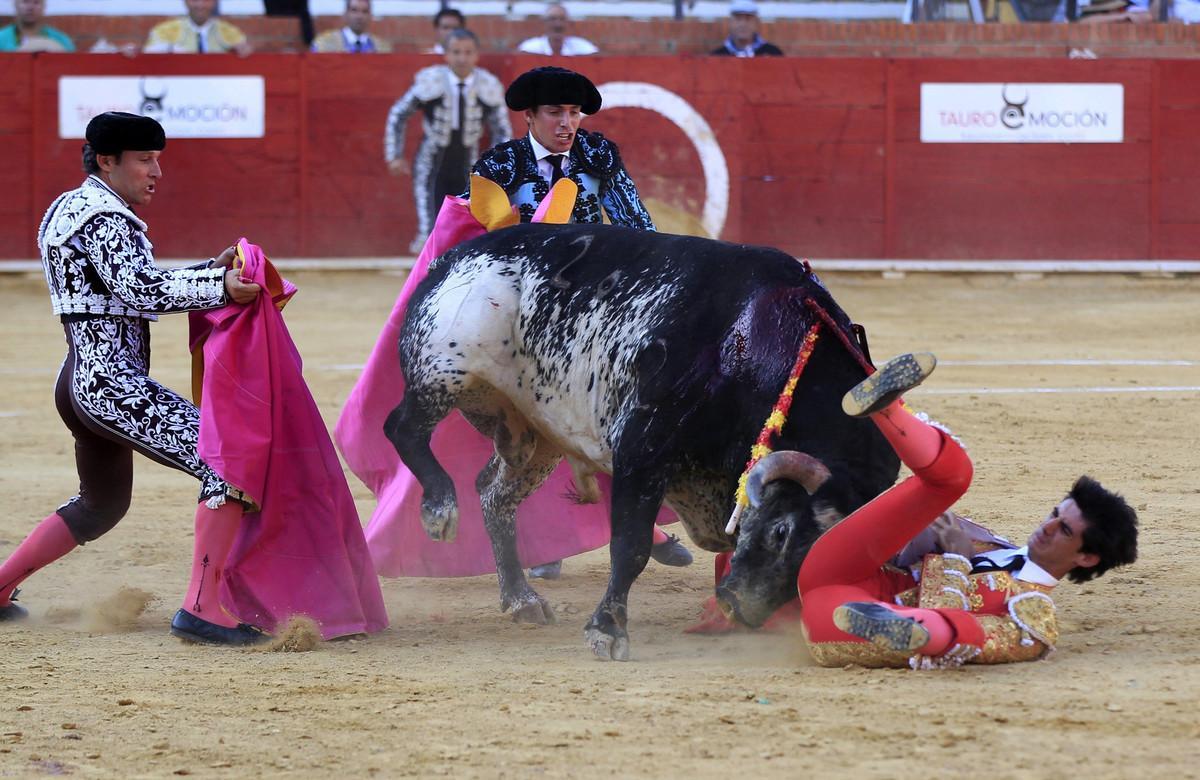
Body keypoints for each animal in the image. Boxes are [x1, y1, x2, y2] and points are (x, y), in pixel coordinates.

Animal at [386, 222, 902, 657]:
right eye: (781, 532)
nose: (740, 608)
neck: (756, 341)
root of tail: (453, 257)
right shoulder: (642, 447)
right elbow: (629, 547)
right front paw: (607, 630)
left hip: (535, 433)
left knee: (495, 495)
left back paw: (521, 599)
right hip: (443, 371)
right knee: (402, 428)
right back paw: (439, 510)